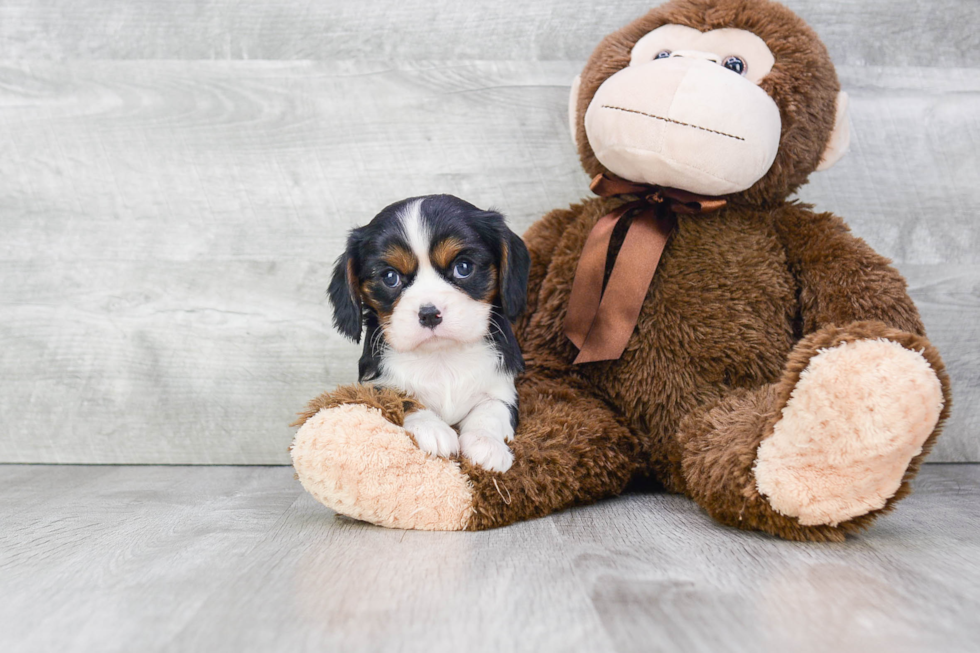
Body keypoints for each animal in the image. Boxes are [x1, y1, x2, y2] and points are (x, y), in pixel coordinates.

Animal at [330, 191, 528, 472]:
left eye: (463, 267)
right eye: (390, 277)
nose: (429, 314)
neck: (441, 357)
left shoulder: (503, 387)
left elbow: (492, 409)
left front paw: (486, 443)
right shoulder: (375, 385)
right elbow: (401, 398)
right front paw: (432, 429)